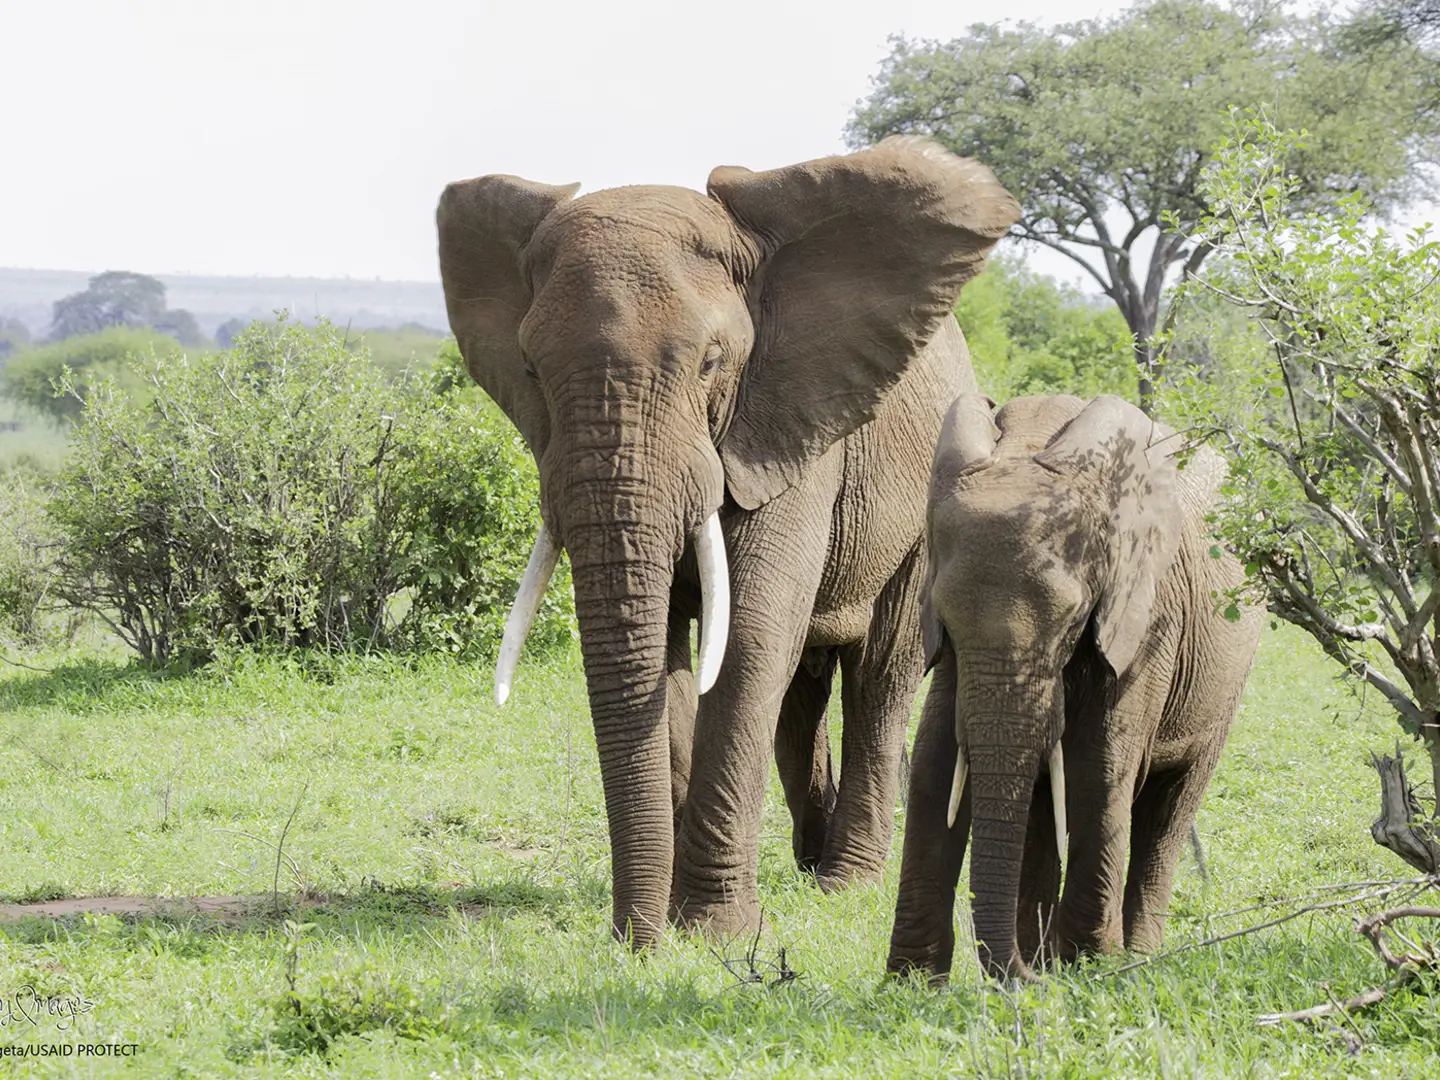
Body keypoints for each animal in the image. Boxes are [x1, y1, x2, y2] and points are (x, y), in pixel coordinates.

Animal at [432, 137, 1019, 944]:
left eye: (712, 361)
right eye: (530, 368)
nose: (631, 942)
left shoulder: (783, 427)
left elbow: (747, 638)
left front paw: (714, 935)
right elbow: (670, 655)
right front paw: (680, 924)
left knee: (880, 673)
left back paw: (841, 883)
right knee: (803, 691)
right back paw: (807, 863)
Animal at [887, 394, 1261, 979]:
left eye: (1073, 620)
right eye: (945, 619)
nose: (1025, 979)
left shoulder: (1146, 619)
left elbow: (1098, 769)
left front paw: (1092, 969)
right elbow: (936, 764)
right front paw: (913, 982)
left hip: (1226, 679)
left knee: (1168, 809)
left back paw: (1129, 958)